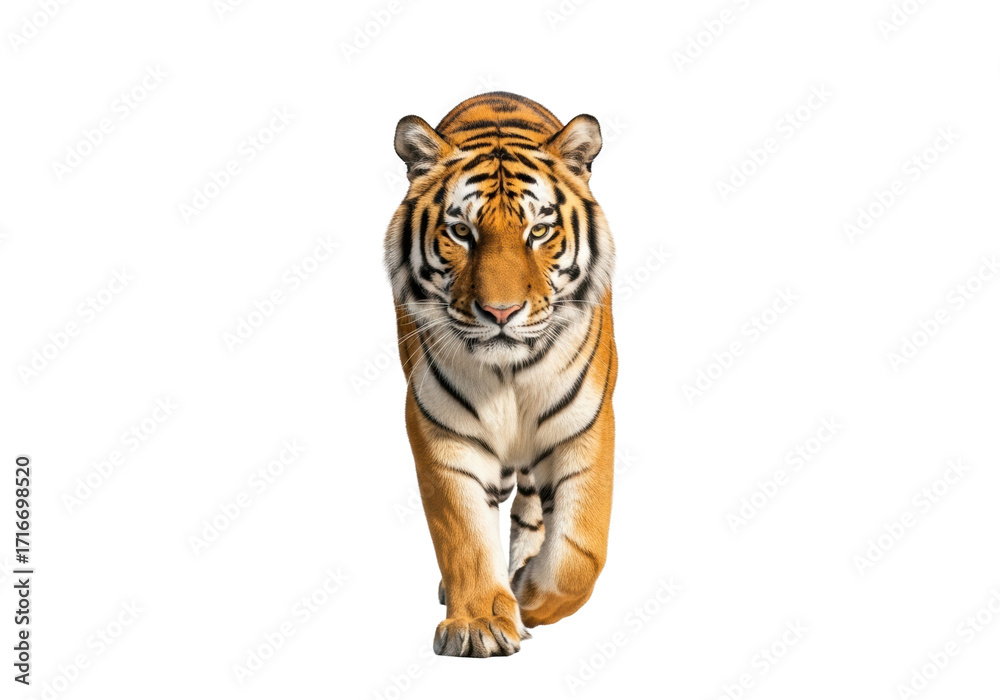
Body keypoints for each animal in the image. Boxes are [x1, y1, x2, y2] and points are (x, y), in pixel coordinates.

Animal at [384, 91, 618, 657]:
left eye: (539, 231)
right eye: (461, 232)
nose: (501, 312)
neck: (509, 372)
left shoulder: (586, 425)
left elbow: (580, 552)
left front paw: (527, 595)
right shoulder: (442, 431)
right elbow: (464, 535)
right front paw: (480, 624)